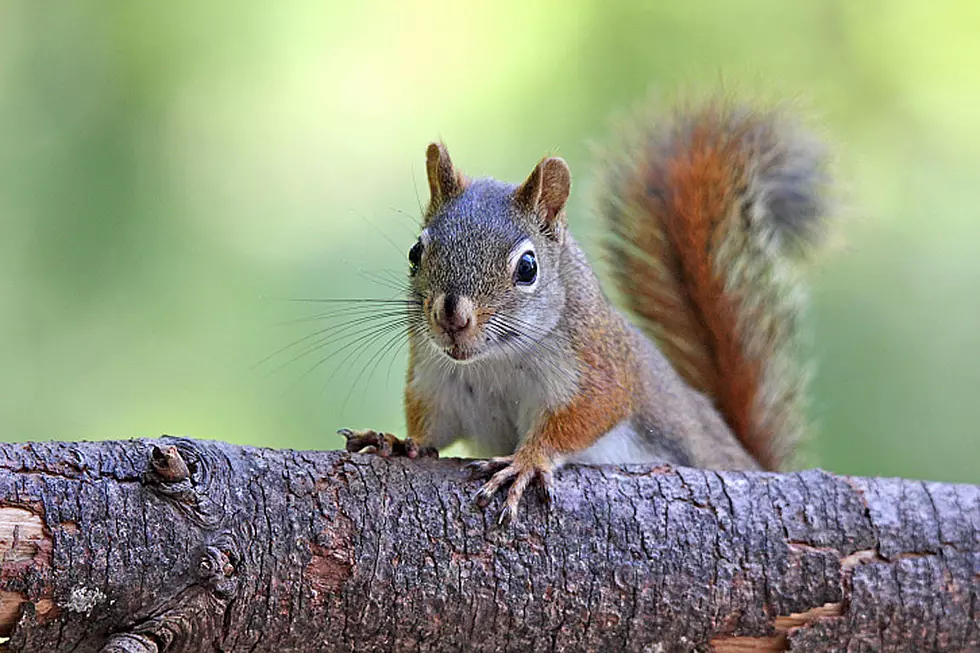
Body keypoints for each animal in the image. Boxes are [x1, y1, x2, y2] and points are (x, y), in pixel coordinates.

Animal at [336, 97, 828, 524]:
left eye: (528, 267)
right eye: (416, 253)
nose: (451, 316)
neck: (495, 361)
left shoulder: (597, 366)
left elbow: (585, 415)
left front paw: (527, 462)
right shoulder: (437, 383)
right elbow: (432, 429)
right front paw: (399, 441)